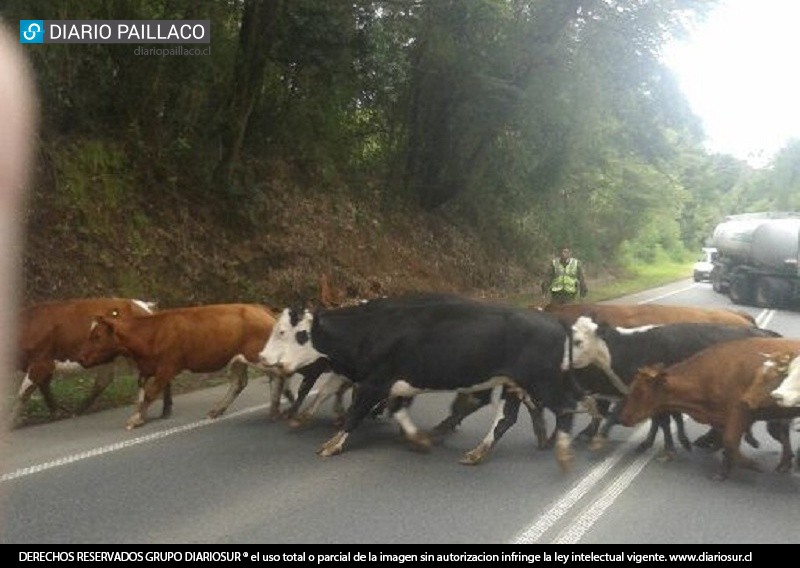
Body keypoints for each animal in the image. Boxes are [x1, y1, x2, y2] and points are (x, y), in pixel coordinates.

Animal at [12, 298, 155, 426]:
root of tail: (143, 305)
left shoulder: (42, 363)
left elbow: (23, 393)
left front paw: (11, 421)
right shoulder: (42, 366)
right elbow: (43, 388)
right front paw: (55, 412)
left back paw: (139, 415)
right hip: (109, 360)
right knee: (103, 382)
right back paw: (78, 411)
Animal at [76, 304, 288, 428]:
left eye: (97, 336)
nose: (80, 358)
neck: (150, 334)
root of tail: (260, 308)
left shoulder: (167, 367)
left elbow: (151, 393)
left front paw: (136, 420)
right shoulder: (146, 367)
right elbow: (141, 393)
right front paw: (139, 415)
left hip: (257, 355)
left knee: (277, 374)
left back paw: (275, 409)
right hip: (237, 358)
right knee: (240, 382)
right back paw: (218, 410)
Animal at [260, 296, 580, 468]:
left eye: (284, 332)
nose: (263, 357)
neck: (371, 329)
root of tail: (554, 320)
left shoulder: (375, 382)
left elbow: (355, 413)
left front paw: (332, 444)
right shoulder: (397, 384)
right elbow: (398, 411)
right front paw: (418, 439)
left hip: (542, 381)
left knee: (565, 407)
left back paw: (562, 449)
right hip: (512, 384)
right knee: (506, 418)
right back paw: (478, 451)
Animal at [560, 318, 780, 460]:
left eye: (578, 342)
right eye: (568, 340)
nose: (563, 365)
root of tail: (764, 332)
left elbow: (663, 421)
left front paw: (669, 447)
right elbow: (659, 421)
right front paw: (652, 443)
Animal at [620, 338, 800, 480]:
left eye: (638, 391)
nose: (624, 417)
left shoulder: (740, 413)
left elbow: (729, 441)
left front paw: (750, 464)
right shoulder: (723, 418)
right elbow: (727, 443)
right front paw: (723, 471)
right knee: (782, 432)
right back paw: (785, 464)